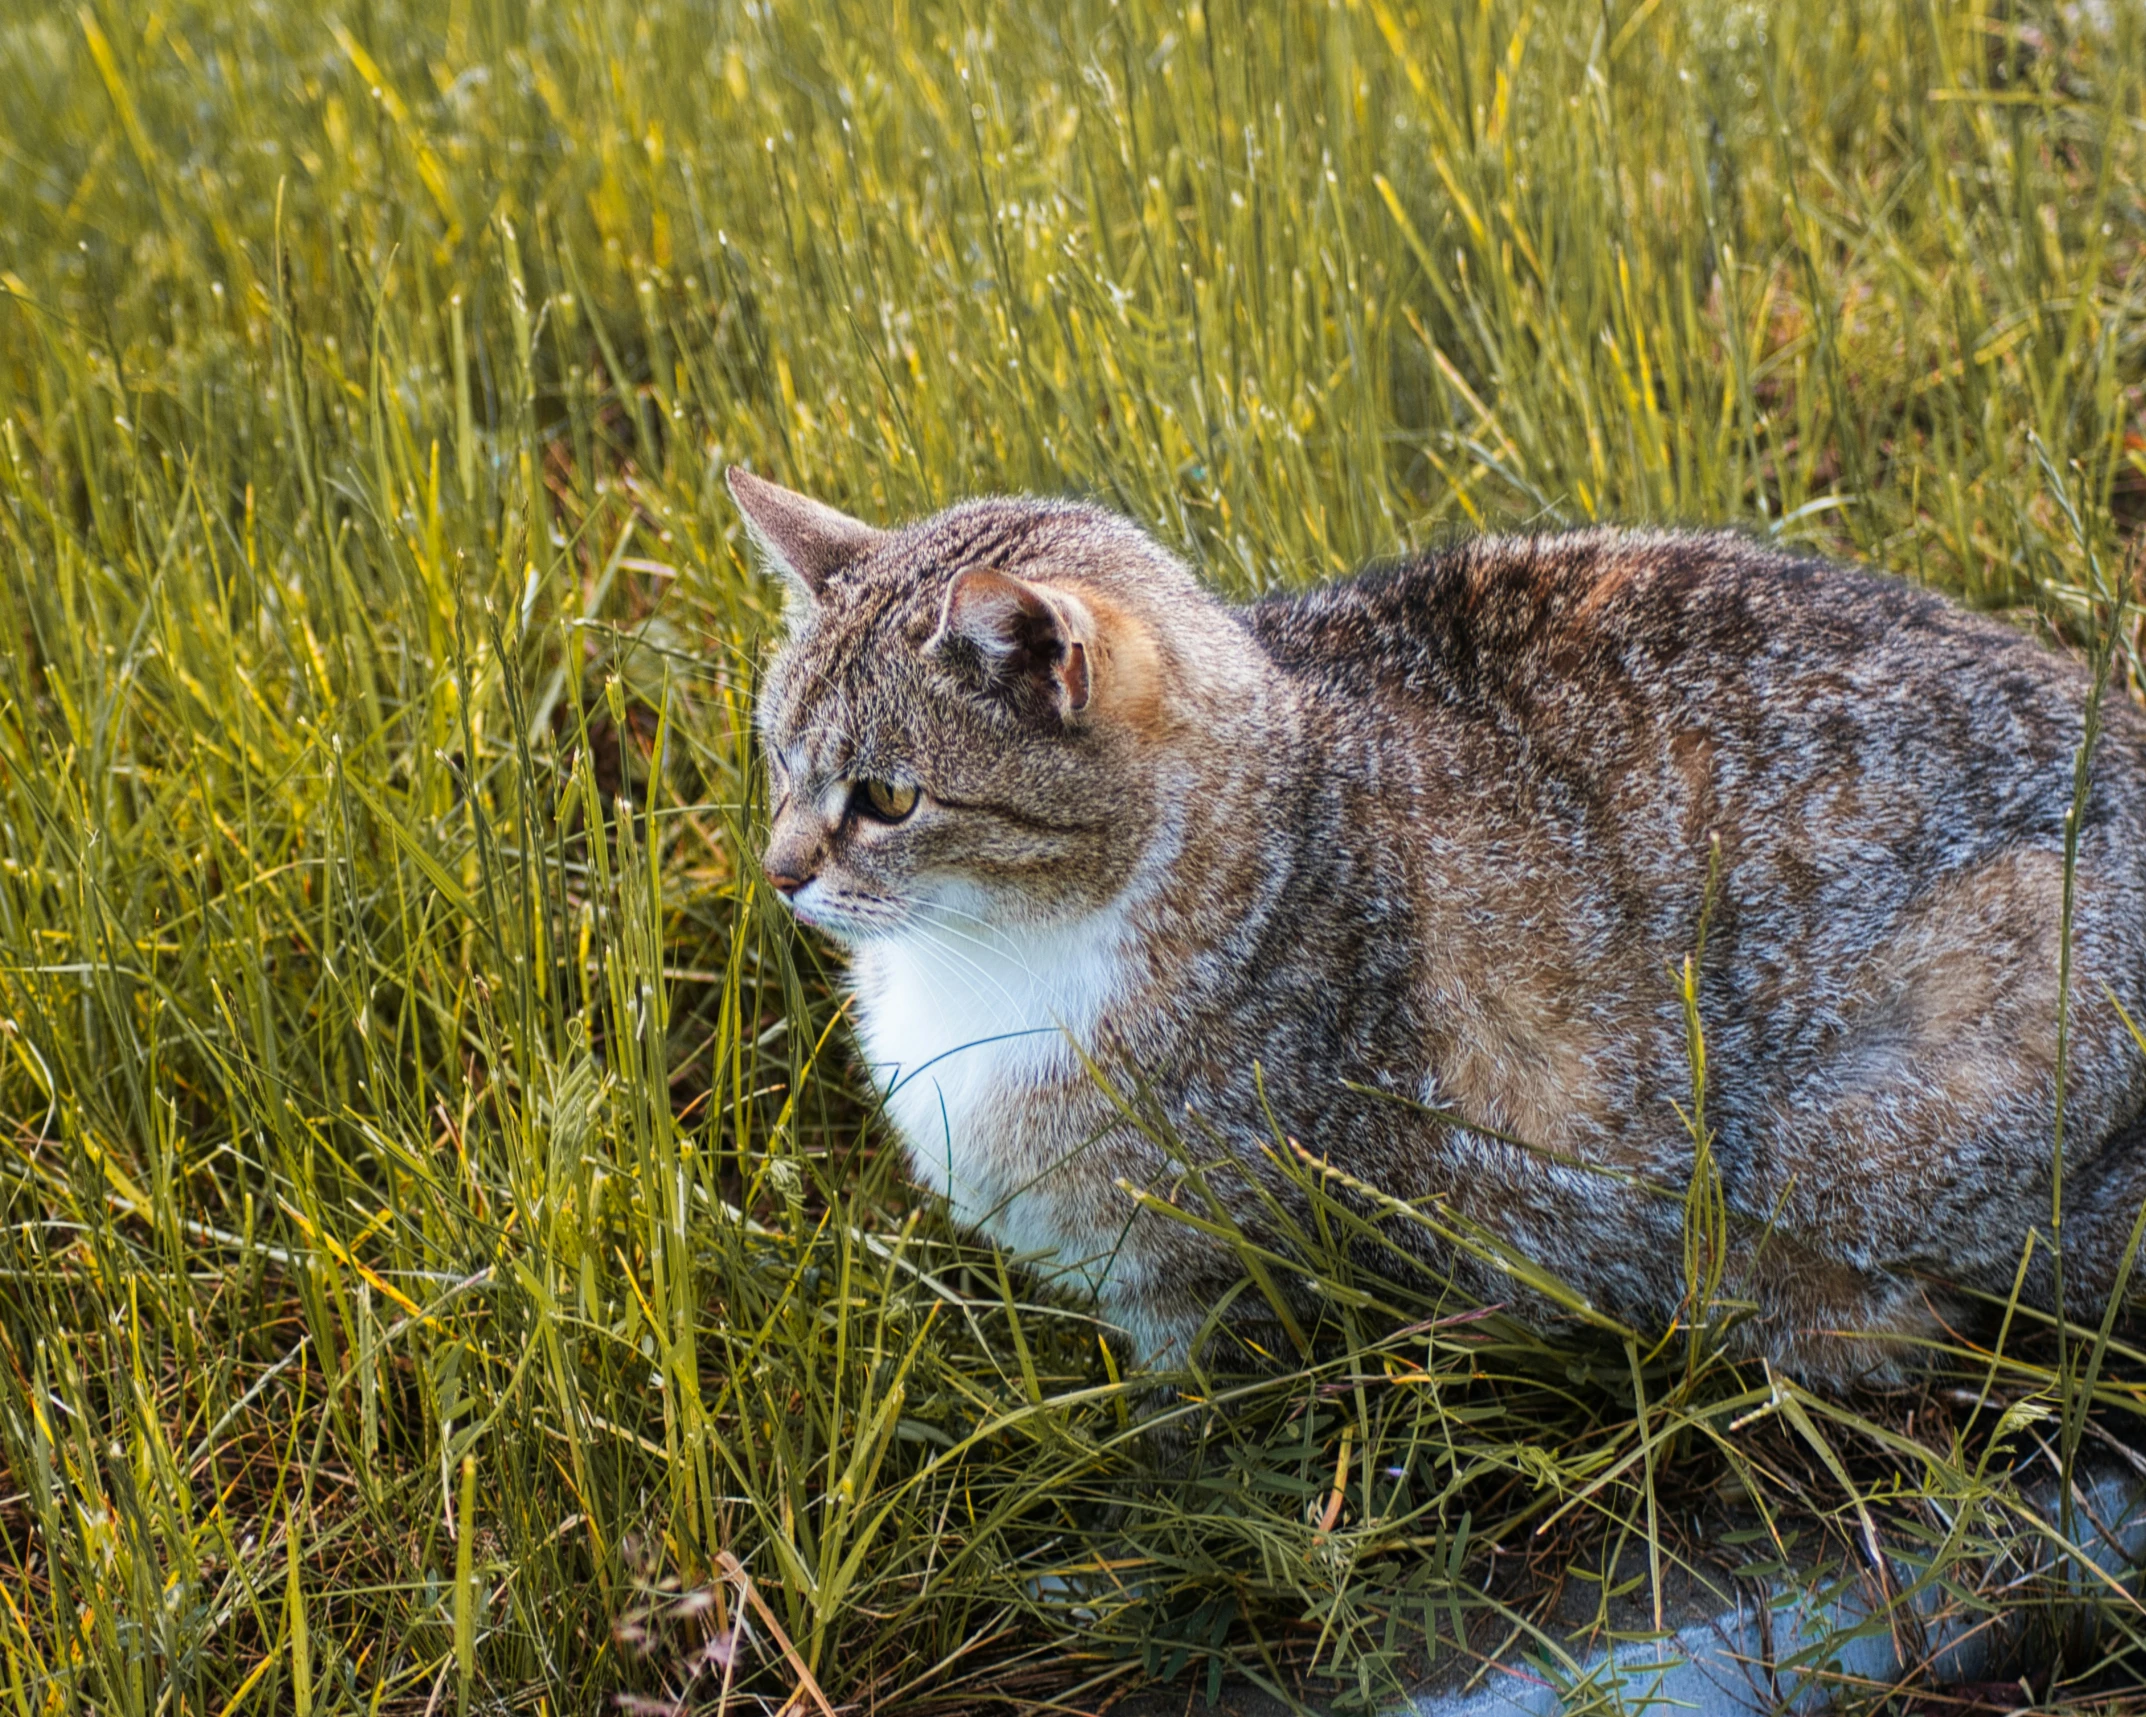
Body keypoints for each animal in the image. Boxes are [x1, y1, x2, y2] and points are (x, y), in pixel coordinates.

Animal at [733, 470, 2146, 1382]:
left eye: (888, 798)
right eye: (778, 764)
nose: (779, 872)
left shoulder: (1220, 1279)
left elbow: (1190, 1419)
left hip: (1859, 1126)